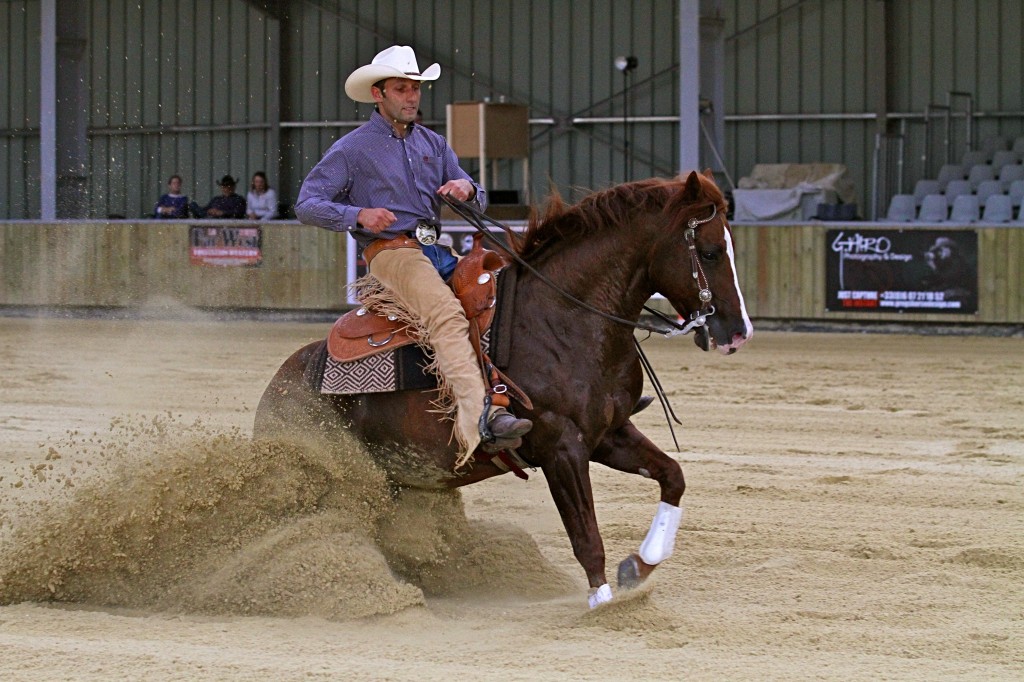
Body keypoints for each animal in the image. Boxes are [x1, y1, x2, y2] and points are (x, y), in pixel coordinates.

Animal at [256, 171, 753, 606]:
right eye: (710, 251)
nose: (738, 332)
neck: (564, 318)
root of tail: (279, 385)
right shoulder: (561, 448)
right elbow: (586, 537)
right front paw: (604, 603)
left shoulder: (607, 434)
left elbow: (672, 476)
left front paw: (639, 564)